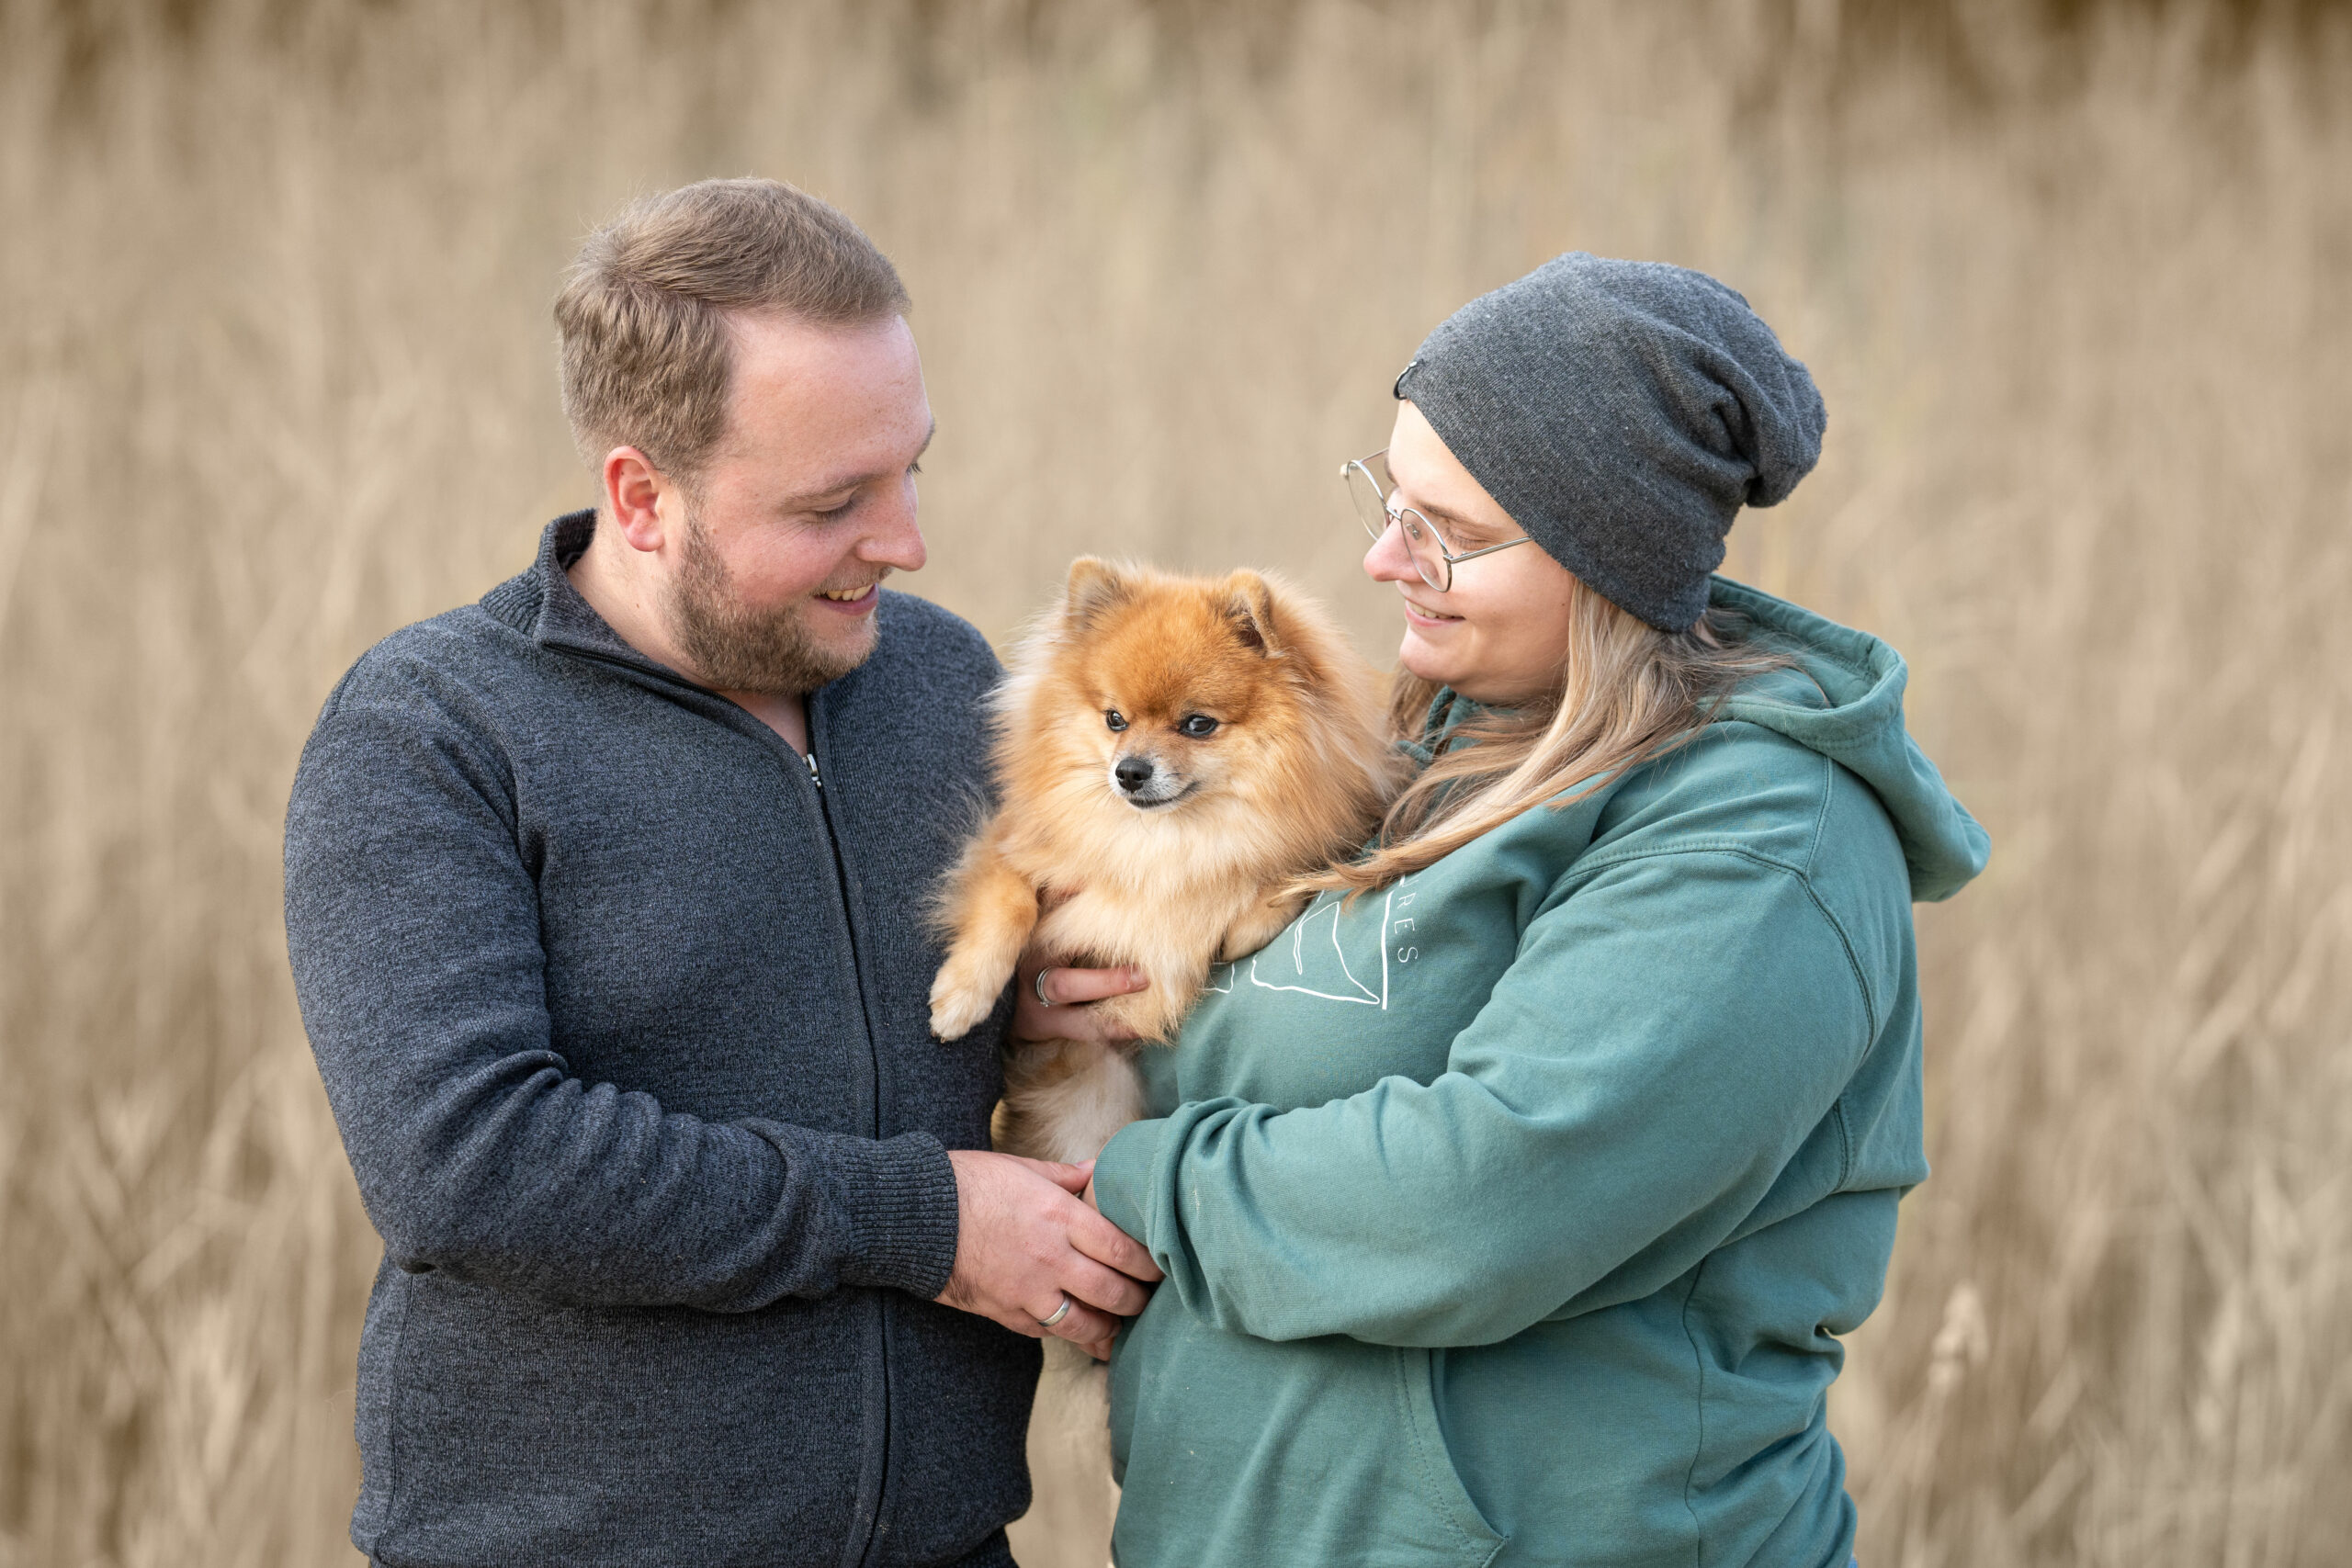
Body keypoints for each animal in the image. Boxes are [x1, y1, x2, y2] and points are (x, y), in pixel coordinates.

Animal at [922, 561, 1392, 1166]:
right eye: (1115, 719)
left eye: (1198, 724)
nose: (1129, 772)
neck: (1164, 841)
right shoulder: (1008, 844)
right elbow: (1009, 904)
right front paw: (960, 997)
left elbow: (1281, 875)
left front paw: (1242, 923)